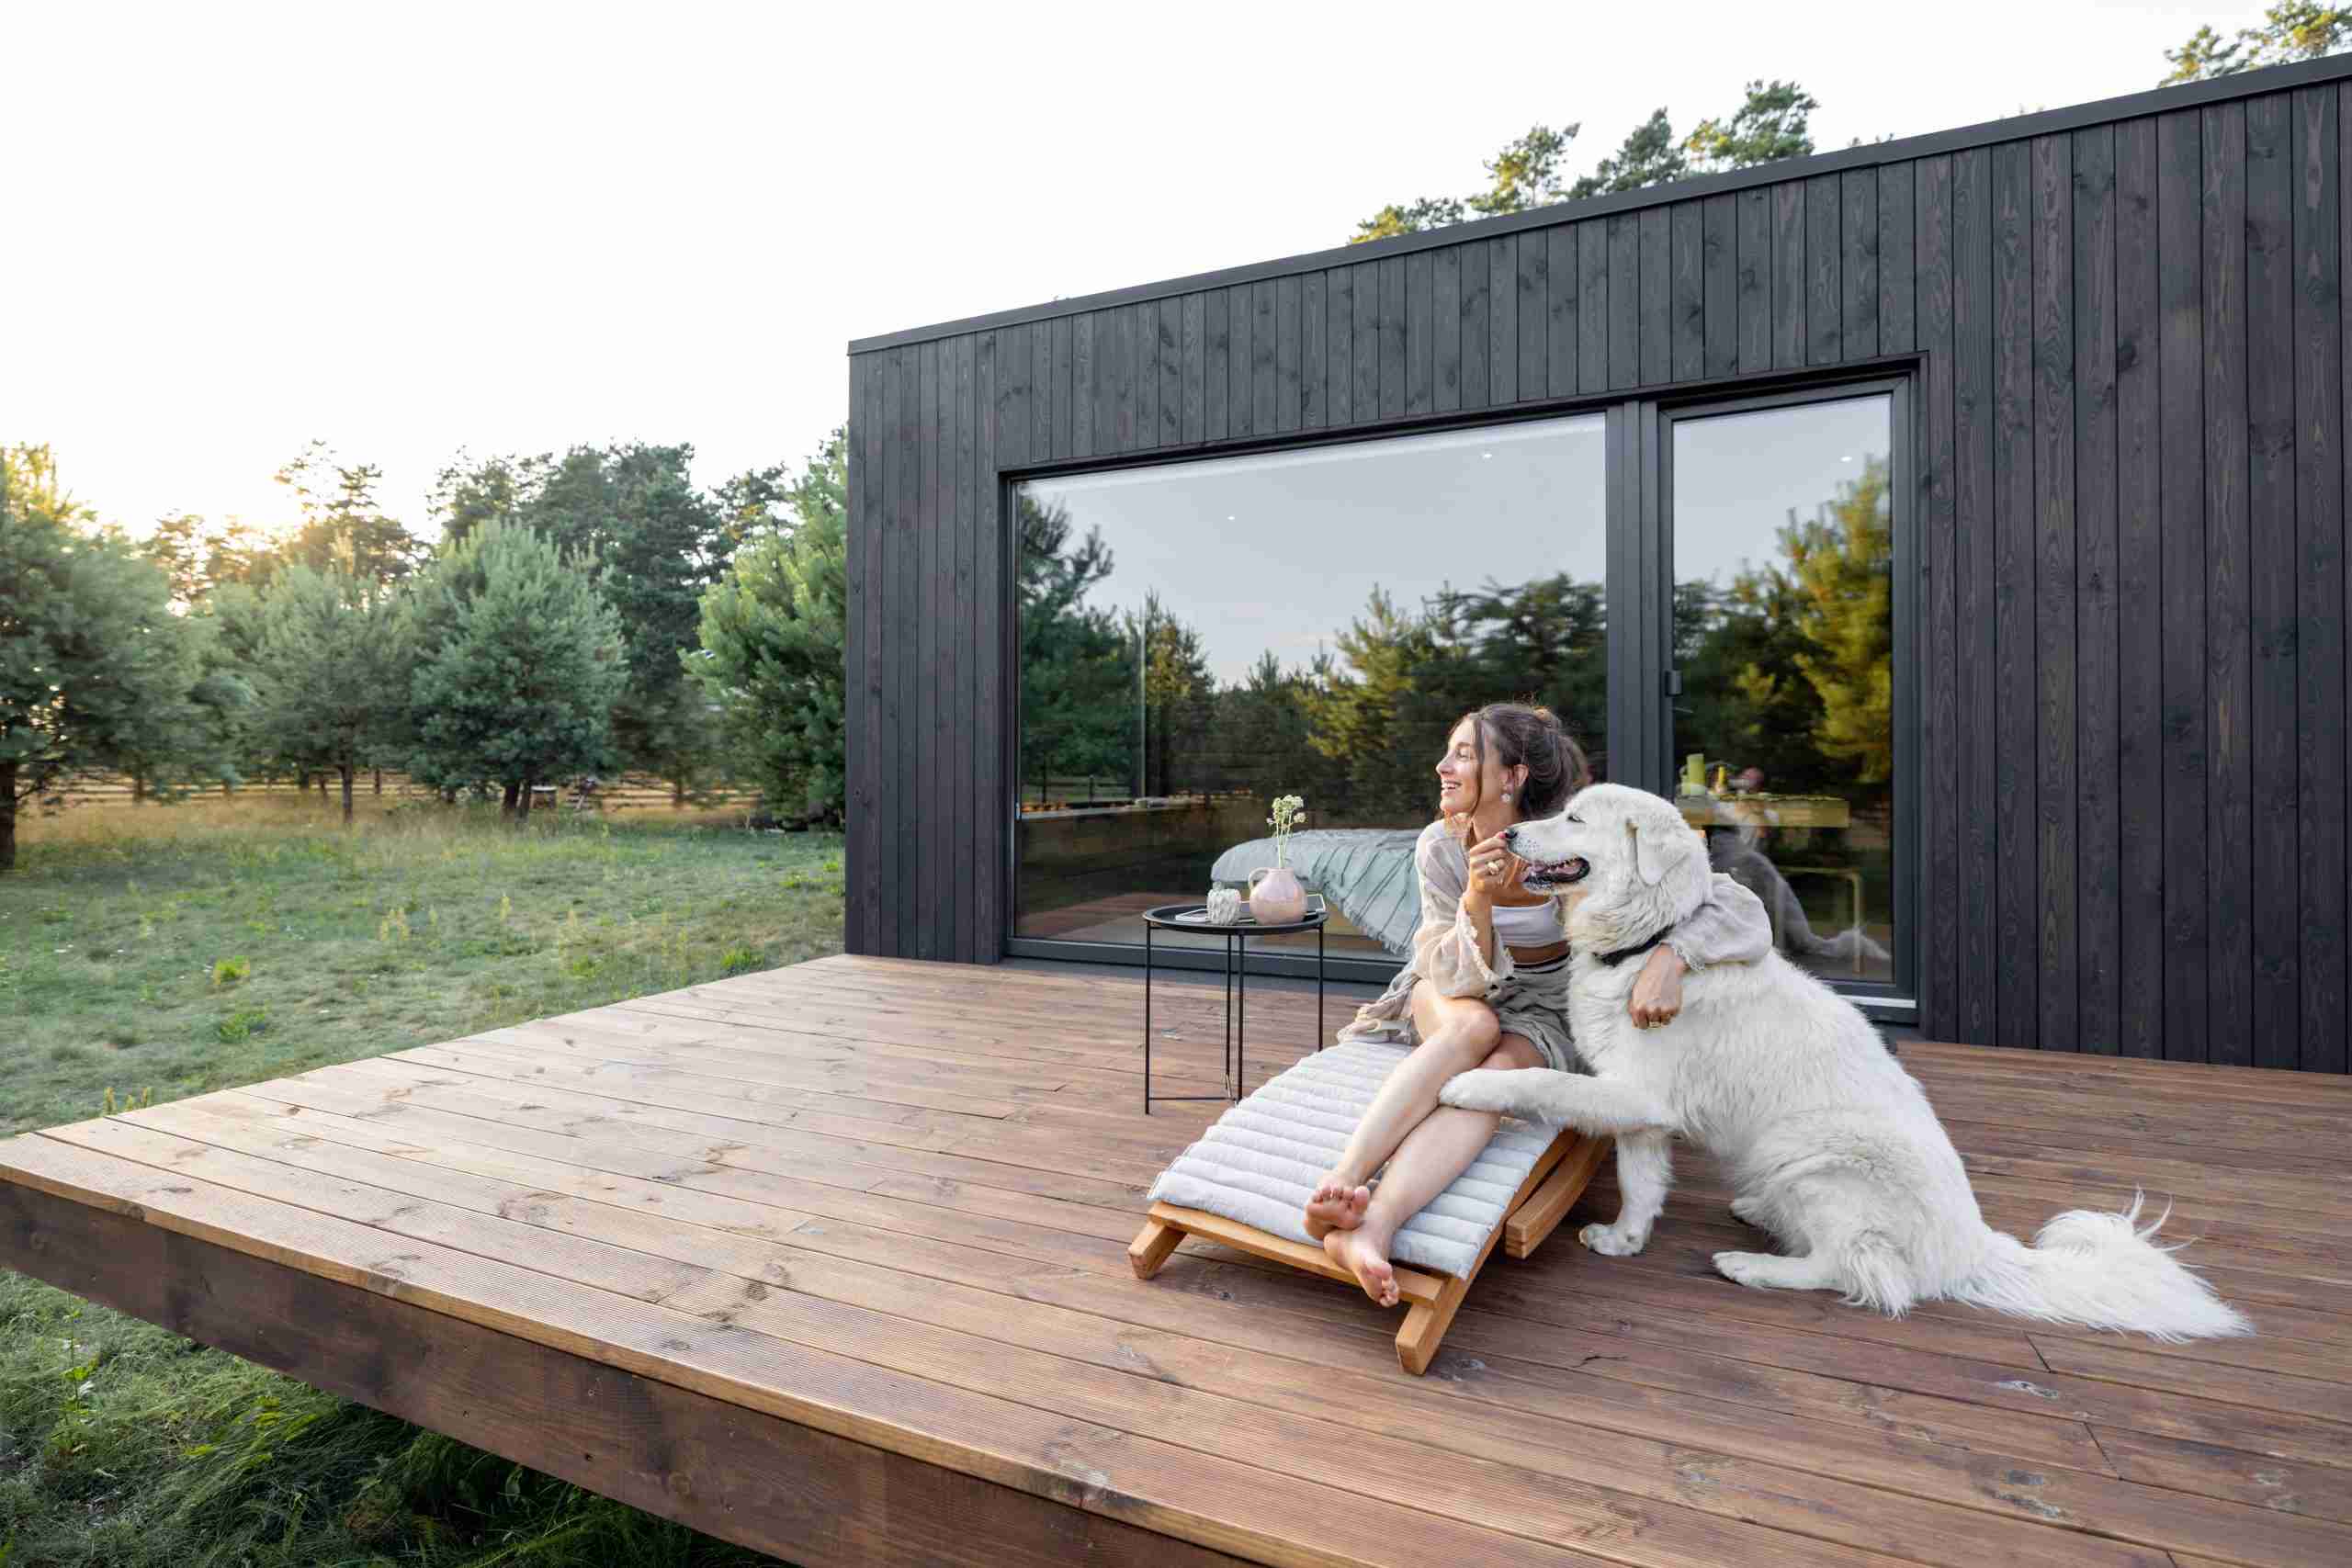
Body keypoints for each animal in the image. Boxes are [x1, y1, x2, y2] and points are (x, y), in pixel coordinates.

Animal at [1439, 780, 2248, 1344]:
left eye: (1575, 818)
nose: (1508, 830)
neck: (1648, 942)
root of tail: (1972, 1246)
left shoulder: (1633, 1094)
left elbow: (1540, 1079)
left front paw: (1470, 1083)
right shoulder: (1642, 1109)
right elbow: (1641, 1184)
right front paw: (1625, 1240)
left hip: (1812, 1154)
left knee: (1860, 1272)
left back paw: (1754, 1264)